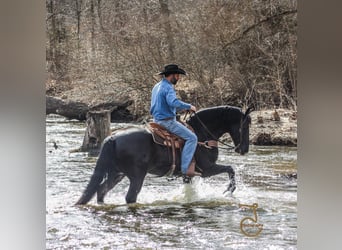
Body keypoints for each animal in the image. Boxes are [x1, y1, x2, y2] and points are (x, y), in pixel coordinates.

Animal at [76, 105, 252, 205]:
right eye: (246, 124)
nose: (244, 149)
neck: (202, 134)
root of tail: (112, 138)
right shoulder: (207, 170)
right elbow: (230, 169)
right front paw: (228, 190)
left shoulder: (189, 174)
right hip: (136, 176)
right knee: (130, 197)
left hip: (117, 173)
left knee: (101, 190)